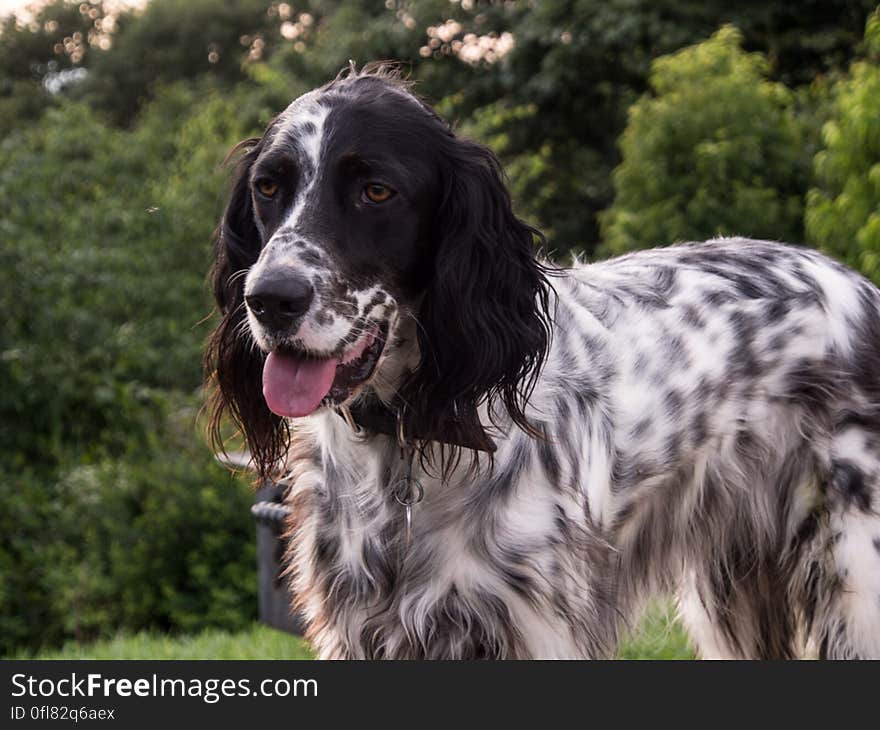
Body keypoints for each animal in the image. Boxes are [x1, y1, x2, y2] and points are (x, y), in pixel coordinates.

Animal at [208, 62, 880, 656]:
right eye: (268, 187)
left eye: (377, 191)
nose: (268, 298)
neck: (413, 431)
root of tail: (859, 286)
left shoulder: (531, 626)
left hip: (853, 582)